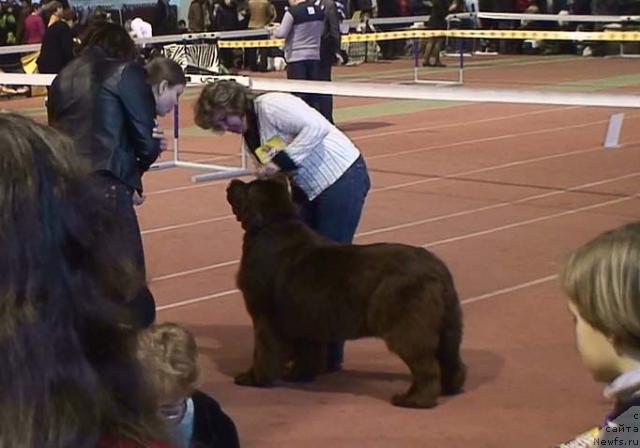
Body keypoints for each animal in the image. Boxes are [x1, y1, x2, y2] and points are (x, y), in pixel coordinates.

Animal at [228, 177, 468, 408]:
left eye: (247, 188)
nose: (232, 182)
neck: (273, 224)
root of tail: (438, 268)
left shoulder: (265, 315)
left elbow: (264, 350)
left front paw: (253, 378)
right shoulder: (306, 317)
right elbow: (307, 351)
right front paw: (298, 374)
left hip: (407, 326)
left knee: (426, 366)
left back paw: (414, 400)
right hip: (449, 326)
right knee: (450, 360)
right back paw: (449, 389)